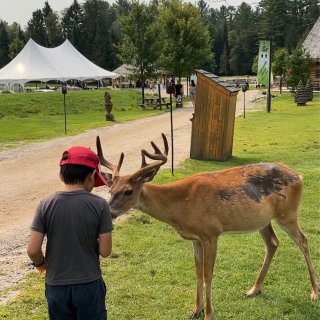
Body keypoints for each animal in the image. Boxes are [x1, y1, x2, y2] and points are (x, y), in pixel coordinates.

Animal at [96, 133, 318, 320]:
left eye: (128, 191)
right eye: (110, 189)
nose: (109, 211)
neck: (181, 205)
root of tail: (299, 176)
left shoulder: (211, 233)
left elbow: (208, 275)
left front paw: (209, 314)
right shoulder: (195, 239)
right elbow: (197, 273)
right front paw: (196, 310)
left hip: (288, 213)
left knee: (304, 241)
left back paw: (314, 292)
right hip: (263, 220)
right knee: (273, 243)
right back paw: (254, 289)